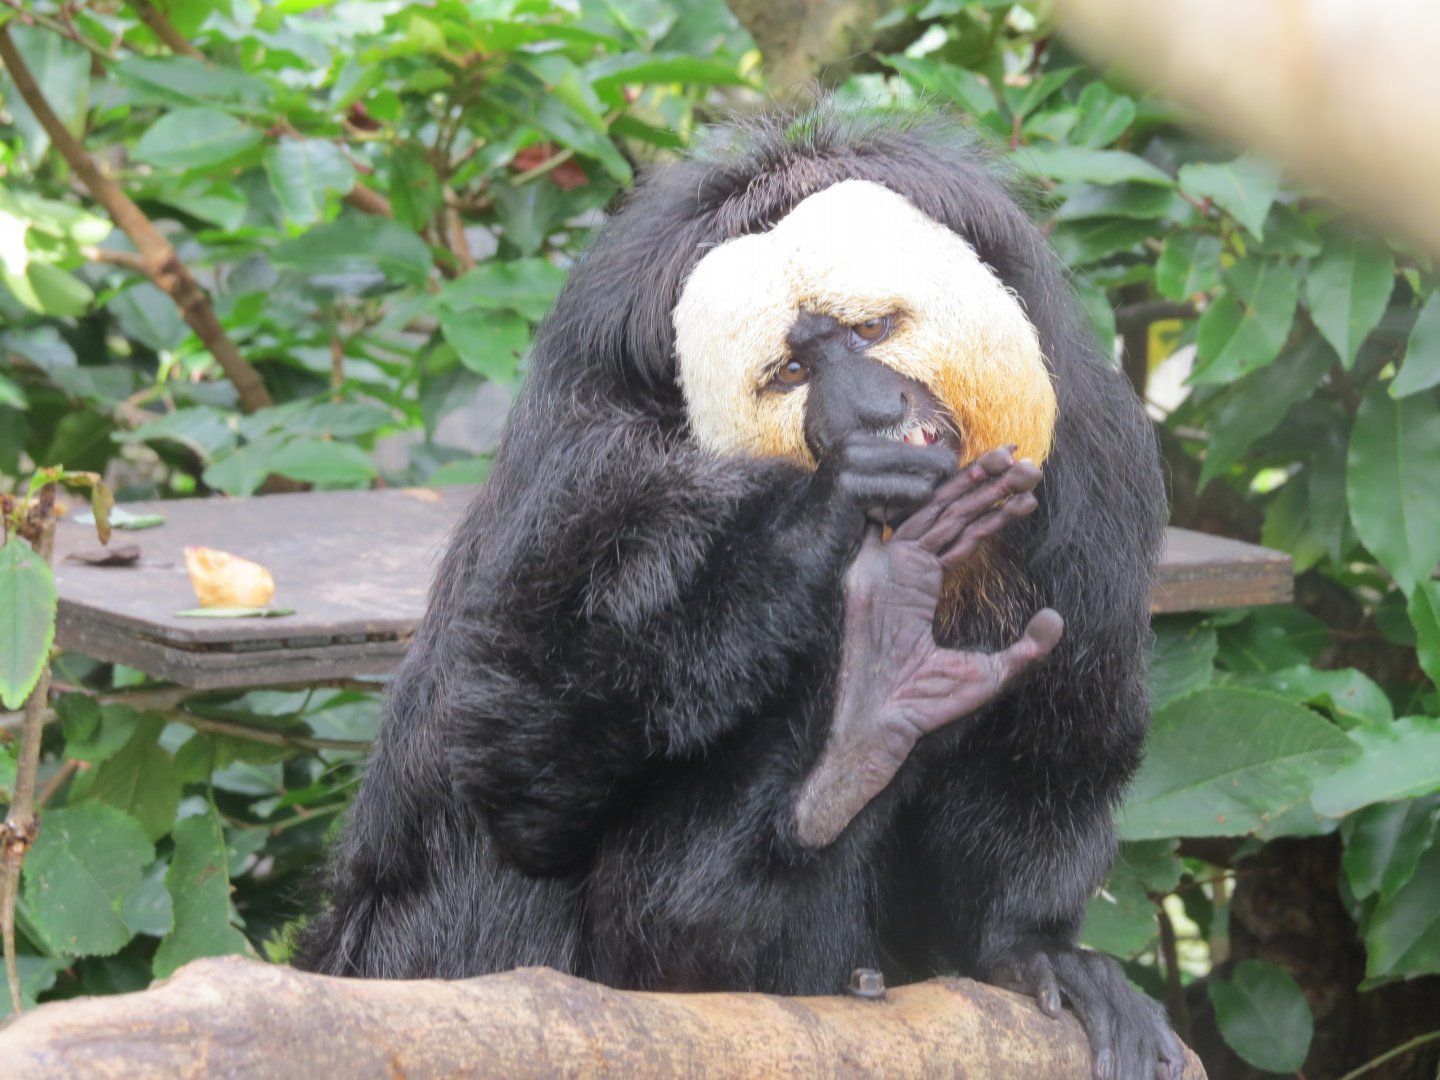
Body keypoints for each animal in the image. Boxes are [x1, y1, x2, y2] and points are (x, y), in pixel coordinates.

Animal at [297, 109, 1180, 1080]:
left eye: (871, 331)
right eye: (790, 373)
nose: (870, 412)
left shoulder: (1094, 480)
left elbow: (1053, 743)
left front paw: (1034, 946)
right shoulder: (587, 469)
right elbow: (518, 758)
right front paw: (821, 513)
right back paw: (852, 736)